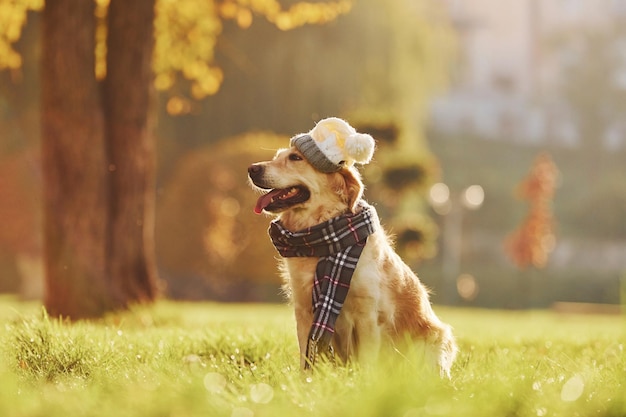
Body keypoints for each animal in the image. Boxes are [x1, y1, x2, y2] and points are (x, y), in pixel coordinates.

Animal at [246, 118, 456, 376]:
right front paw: (307, 382)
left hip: (433, 341)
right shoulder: (304, 310)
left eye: (295, 158)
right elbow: (307, 358)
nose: (252, 169)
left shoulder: (367, 316)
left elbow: (366, 362)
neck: (322, 241)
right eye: (277, 156)